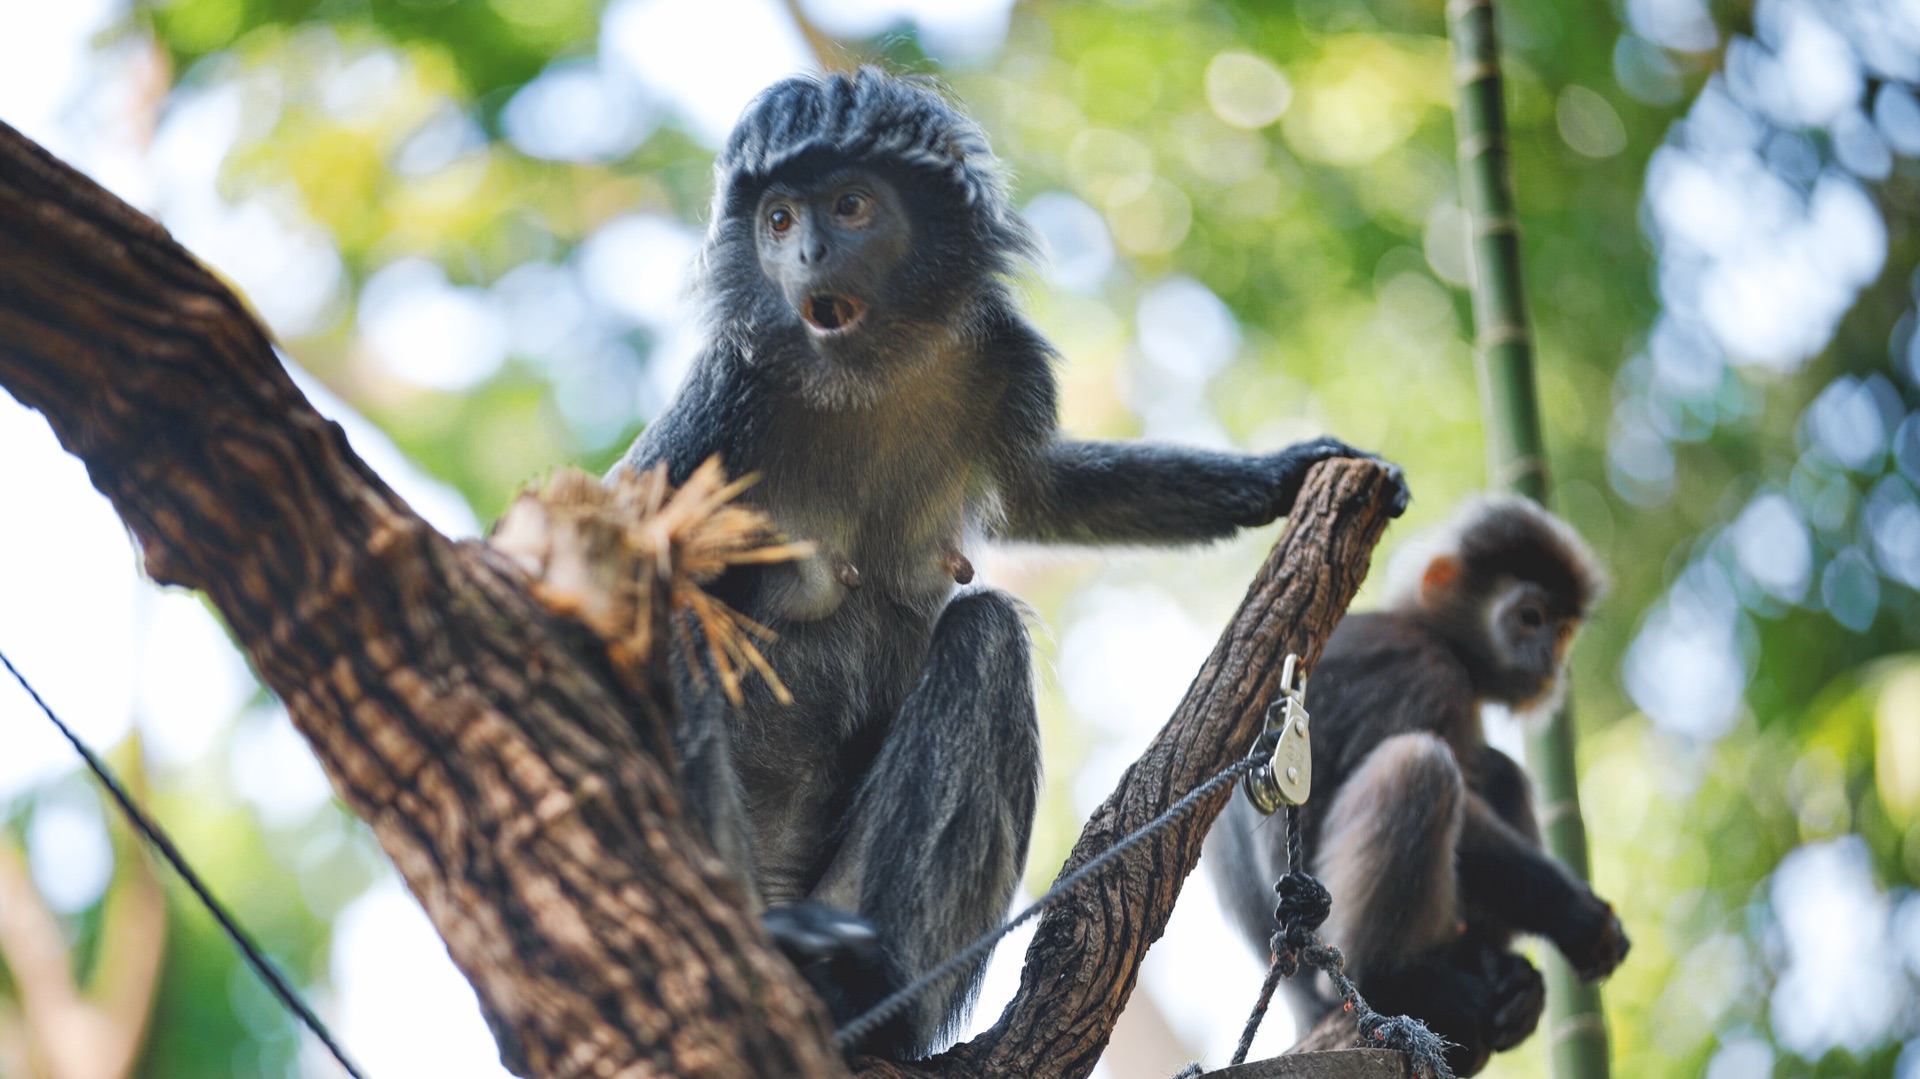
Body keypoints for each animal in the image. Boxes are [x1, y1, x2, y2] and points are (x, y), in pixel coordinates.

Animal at [618, 71, 1413, 1052]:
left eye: (850, 206)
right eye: (776, 219)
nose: (804, 252)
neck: (869, 376)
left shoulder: (998, 361)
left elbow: (1045, 490)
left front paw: (1291, 470)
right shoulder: (725, 395)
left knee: (986, 632)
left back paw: (870, 997)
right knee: (681, 617)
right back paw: (775, 944)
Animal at [1205, 495, 1628, 1067]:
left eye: (1561, 631)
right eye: (1530, 618)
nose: (1549, 660)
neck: (1430, 631)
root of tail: (1302, 1007)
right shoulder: (1421, 672)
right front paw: (1577, 915)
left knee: (1499, 769)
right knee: (1423, 764)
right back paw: (1399, 981)